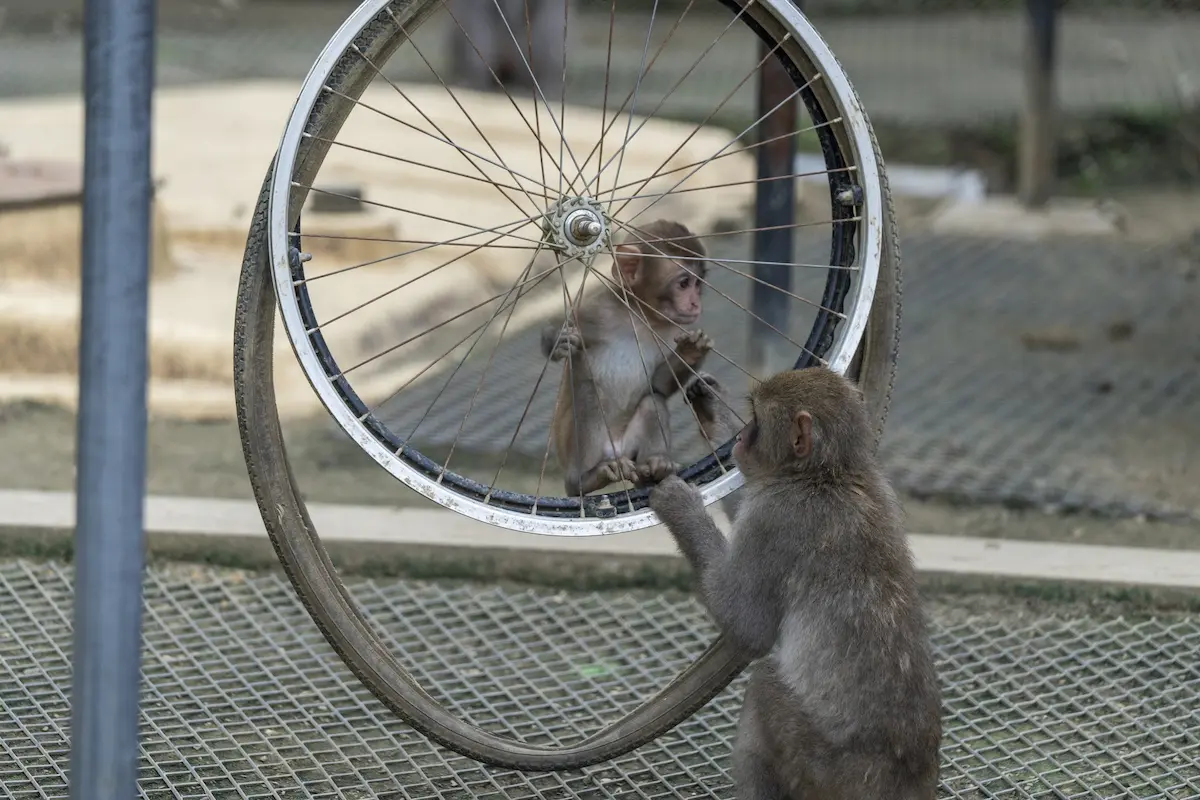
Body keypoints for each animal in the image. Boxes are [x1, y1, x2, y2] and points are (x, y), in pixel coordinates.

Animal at [542, 219, 710, 494]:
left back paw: (654, 468)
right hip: (577, 450)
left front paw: (692, 351)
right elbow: (565, 324)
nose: (696, 304)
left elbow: (658, 384)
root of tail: (616, 453)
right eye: (684, 283)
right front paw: (557, 341)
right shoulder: (597, 310)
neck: (640, 317)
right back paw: (585, 479)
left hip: (629, 449)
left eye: (698, 284)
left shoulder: (671, 331)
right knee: (588, 393)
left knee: (653, 402)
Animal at [652, 369, 940, 800]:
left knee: (764, 685)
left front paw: (679, 504)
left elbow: (748, 626)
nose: (740, 439)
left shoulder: (778, 516)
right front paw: (712, 409)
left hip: (821, 773)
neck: (828, 473)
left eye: (757, 420)